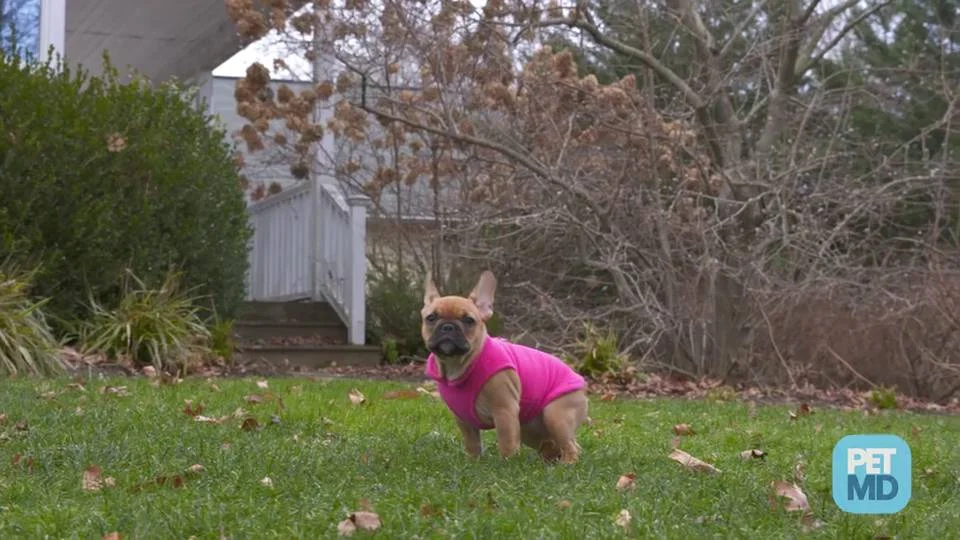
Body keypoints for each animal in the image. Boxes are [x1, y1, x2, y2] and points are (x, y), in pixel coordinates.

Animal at [422, 270, 588, 464]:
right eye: (431, 318)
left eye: (469, 320)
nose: (447, 327)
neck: (461, 365)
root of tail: (582, 384)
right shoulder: (463, 420)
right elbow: (472, 443)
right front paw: (473, 462)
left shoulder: (504, 411)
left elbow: (506, 440)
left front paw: (507, 464)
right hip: (530, 429)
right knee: (550, 444)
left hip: (556, 415)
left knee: (571, 445)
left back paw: (568, 463)